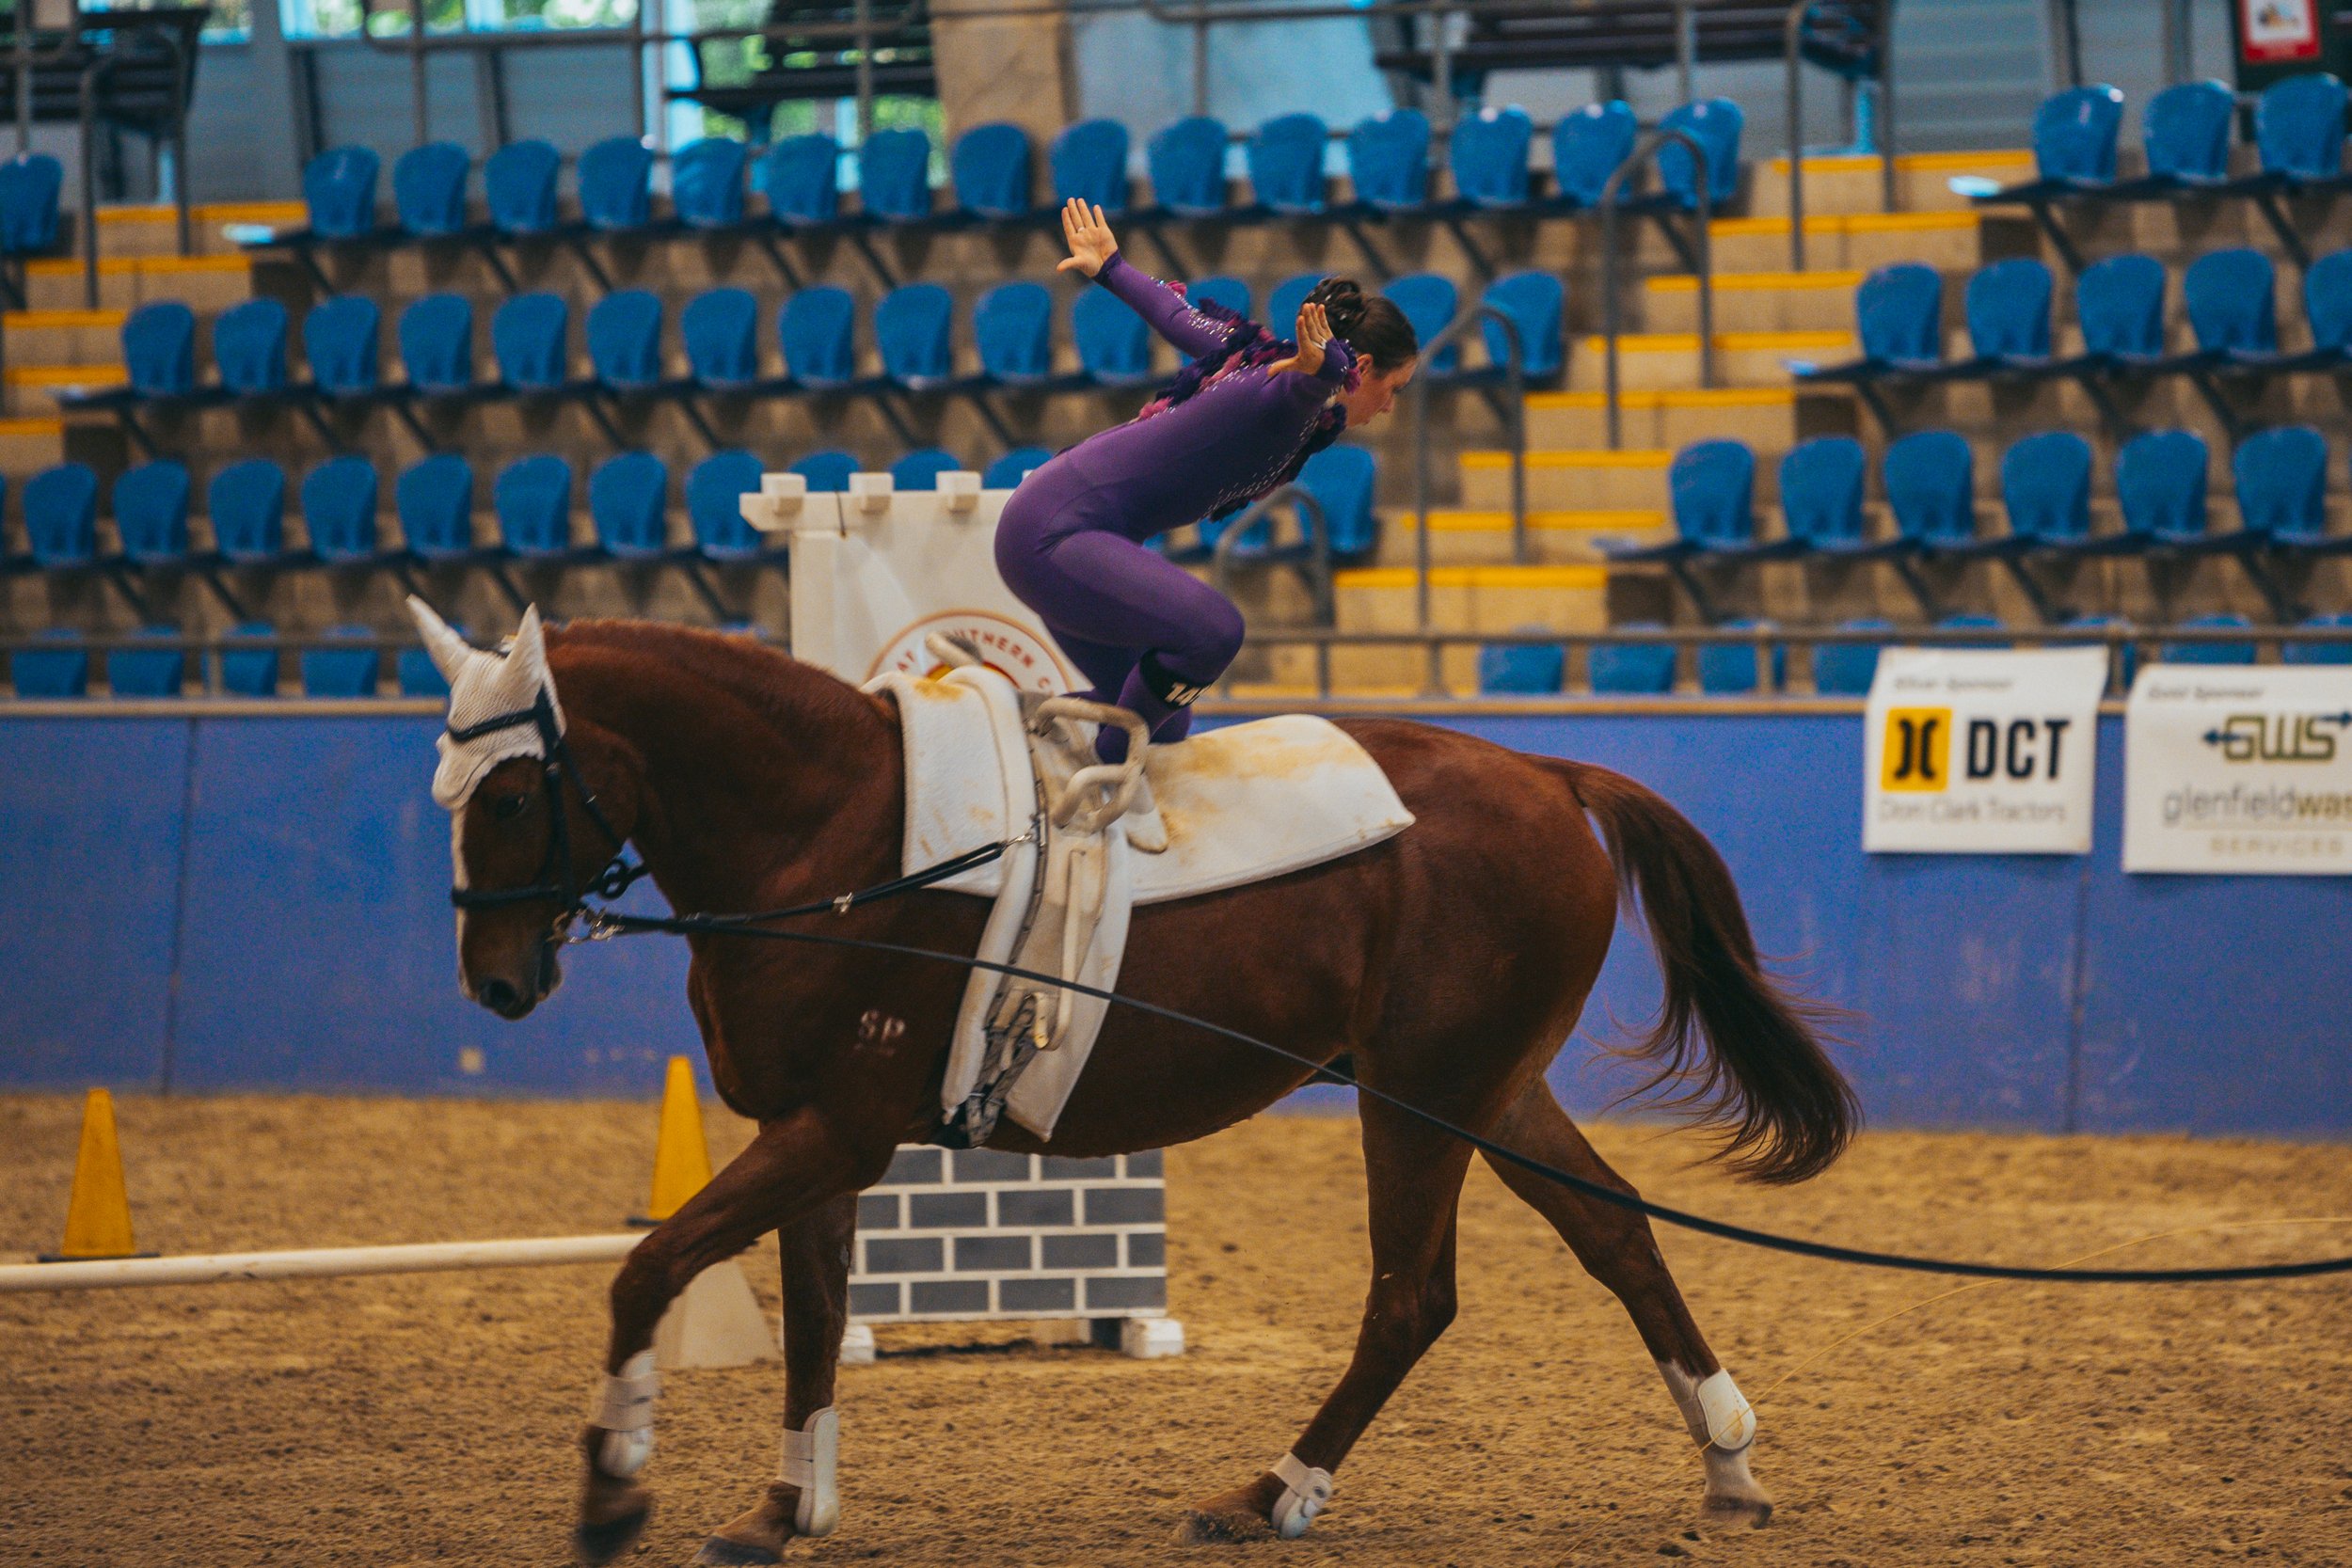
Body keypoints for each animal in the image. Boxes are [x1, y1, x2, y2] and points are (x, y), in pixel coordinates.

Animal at [408, 603, 1856, 1566]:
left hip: (1419, 1098)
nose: (494, 983)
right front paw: (782, 1508)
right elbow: (815, 1316)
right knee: (1618, 1235)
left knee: (1411, 1297)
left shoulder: (839, 1127)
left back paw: (1269, 1492)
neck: (833, 834)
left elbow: (649, 1267)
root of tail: (1553, 771)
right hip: (1490, 1091)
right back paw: (1730, 1462)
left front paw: (614, 1487)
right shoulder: (809, 1131)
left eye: (515, 794)